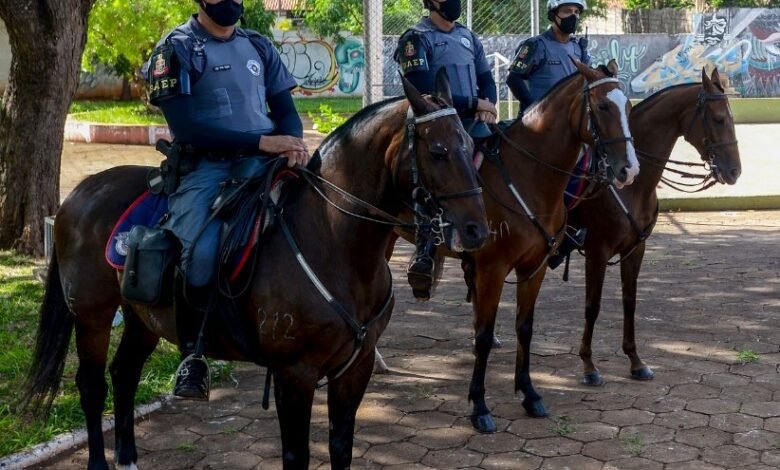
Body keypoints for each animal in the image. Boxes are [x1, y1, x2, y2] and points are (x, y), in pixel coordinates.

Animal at [21, 71, 488, 468]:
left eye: (470, 145)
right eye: (438, 151)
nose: (476, 229)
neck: (334, 241)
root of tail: (79, 193)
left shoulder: (356, 368)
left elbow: (341, 448)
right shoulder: (295, 374)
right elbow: (297, 455)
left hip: (142, 317)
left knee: (124, 374)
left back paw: (128, 457)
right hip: (93, 315)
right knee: (92, 384)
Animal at [564, 68, 740, 388]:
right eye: (719, 119)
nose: (735, 171)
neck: (632, 186)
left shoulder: (636, 249)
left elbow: (630, 301)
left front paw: (635, 361)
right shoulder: (597, 252)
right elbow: (592, 306)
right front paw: (589, 365)